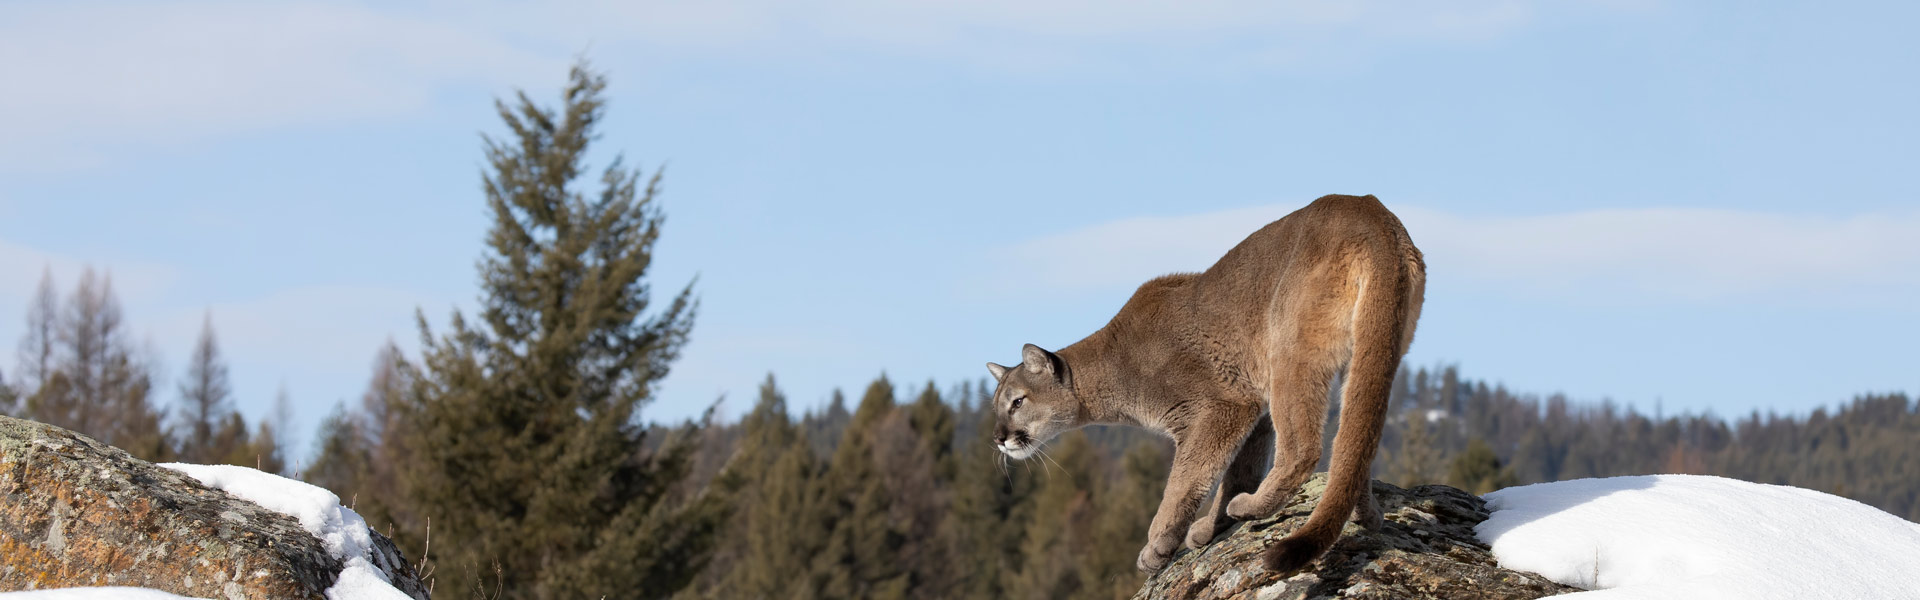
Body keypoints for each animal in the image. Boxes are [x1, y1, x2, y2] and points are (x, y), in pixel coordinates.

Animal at [990, 194, 1428, 573]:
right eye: (997, 406)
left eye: (1017, 402)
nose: (998, 438)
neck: (1111, 366)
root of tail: (1371, 213)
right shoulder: (1253, 406)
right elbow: (1238, 470)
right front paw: (1209, 528)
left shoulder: (1220, 407)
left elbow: (1184, 480)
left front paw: (1158, 545)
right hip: (1372, 351)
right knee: (1357, 436)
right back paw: (1366, 513)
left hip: (1289, 351)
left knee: (1304, 448)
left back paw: (1253, 507)